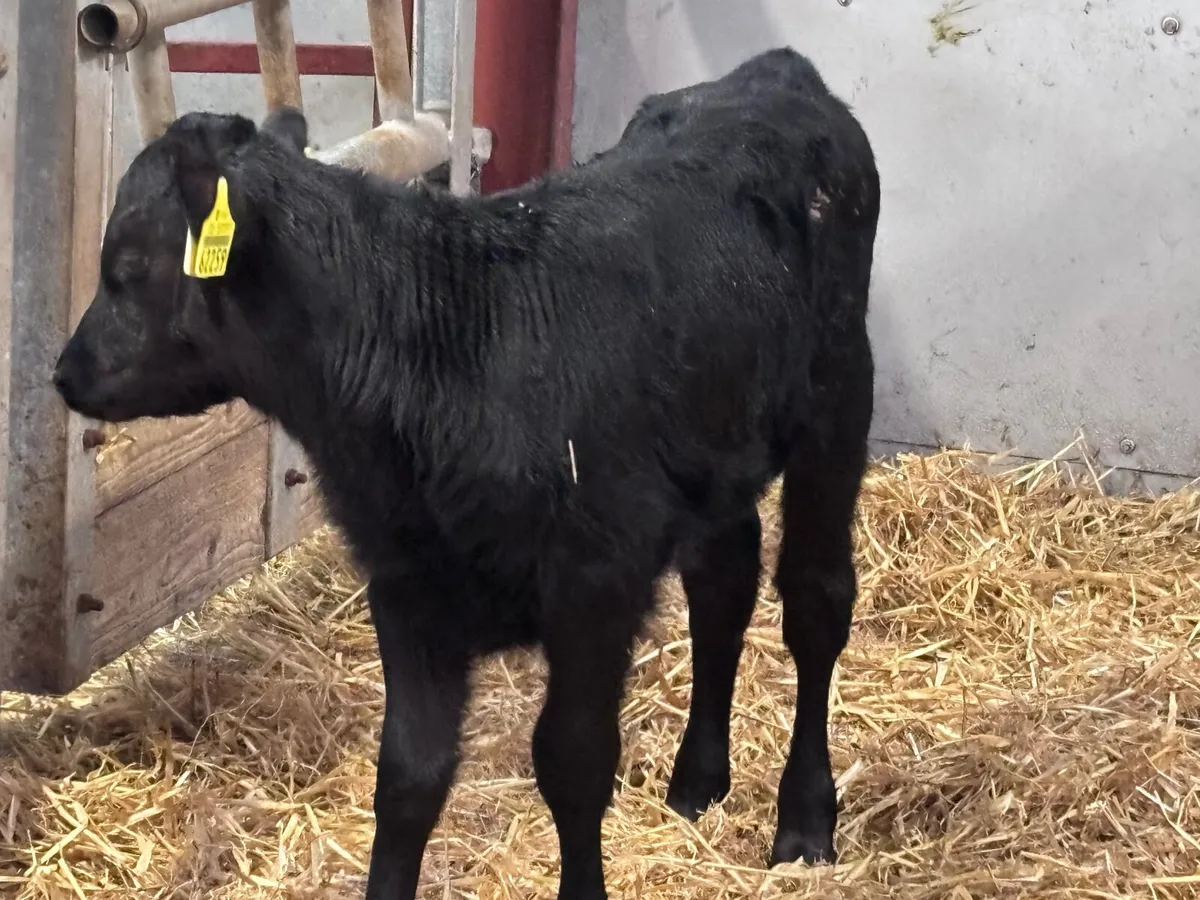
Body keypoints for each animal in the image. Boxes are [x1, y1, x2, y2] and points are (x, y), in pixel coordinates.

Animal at [53, 47, 880, 900]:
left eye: (127, 264)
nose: (68, 370)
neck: (444, 349)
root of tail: (772, 73)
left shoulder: (595, 586)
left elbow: (573, 762)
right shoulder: (408, 586)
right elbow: (409, 776)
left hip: (840, 396)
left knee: (815, 601)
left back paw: (805, 817)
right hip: (720, 454)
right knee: (723, 586)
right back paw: (699, 778)